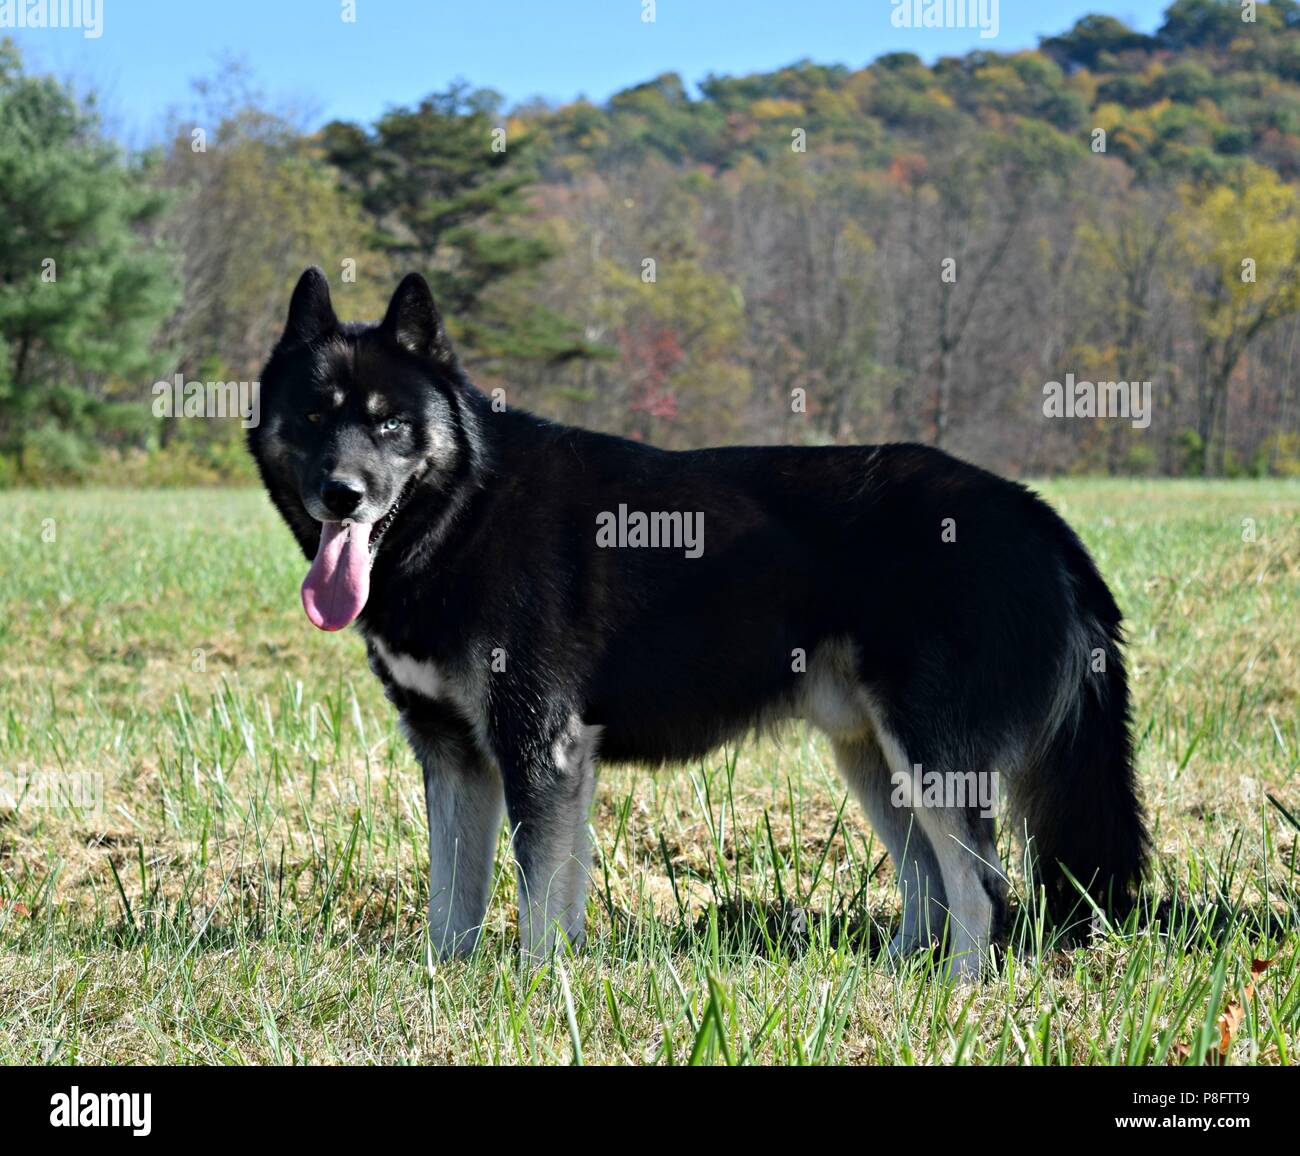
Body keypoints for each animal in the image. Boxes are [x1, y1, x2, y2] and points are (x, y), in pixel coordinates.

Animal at [250, 266, 1149, 967]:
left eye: (389, 422)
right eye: (314, 416)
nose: (341, 494)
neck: (466, 507)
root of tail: (1038, 516)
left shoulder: (542, 749)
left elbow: (541, 900)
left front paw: (536, 991)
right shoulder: (454, 754)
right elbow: (453, 902)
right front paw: (452, 981)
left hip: (930, 757)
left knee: (984, 891)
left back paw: (957, 995)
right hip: (874, 756)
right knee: (931, 885)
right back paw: (895, 980)